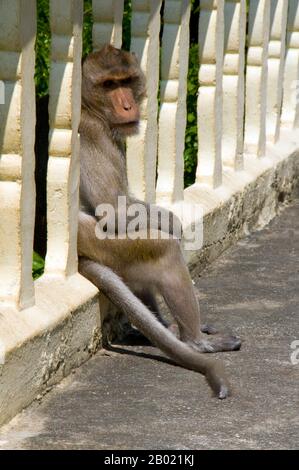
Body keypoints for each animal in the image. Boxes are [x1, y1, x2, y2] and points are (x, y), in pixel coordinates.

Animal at [77, 44, 241, 398]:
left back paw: (165, 328)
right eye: (109, 85)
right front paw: (174, 224)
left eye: (125, 81)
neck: (89, 109)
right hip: (103, 244)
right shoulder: (91, 134)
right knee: (163, 253)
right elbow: (114, 213)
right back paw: (194, 341)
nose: (127, 104)